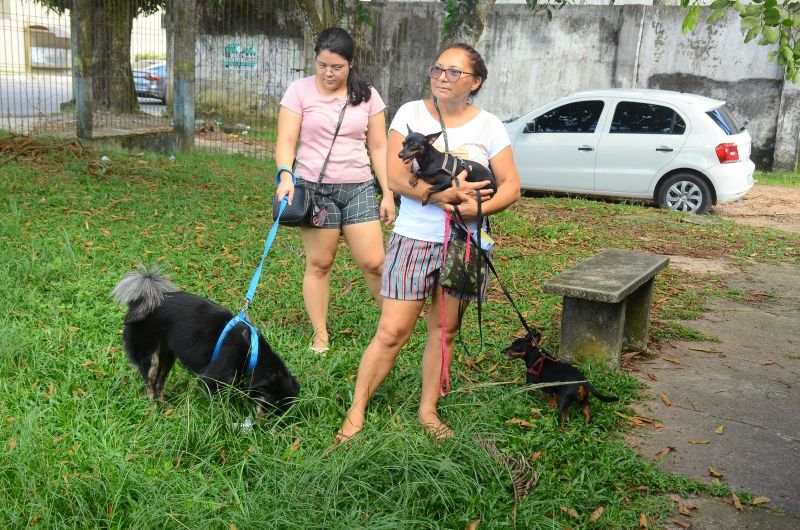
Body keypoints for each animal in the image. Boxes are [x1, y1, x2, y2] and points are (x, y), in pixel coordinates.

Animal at [112, 266, 300, 414]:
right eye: (269, 406)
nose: (262, 427)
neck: (252, 353)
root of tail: (141, 301)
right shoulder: (212, 379)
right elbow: (219, 405)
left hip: (167, 356)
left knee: (159, 384)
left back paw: (165, 408)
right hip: (150, 357)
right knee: (151, 386)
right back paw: (153, 412)